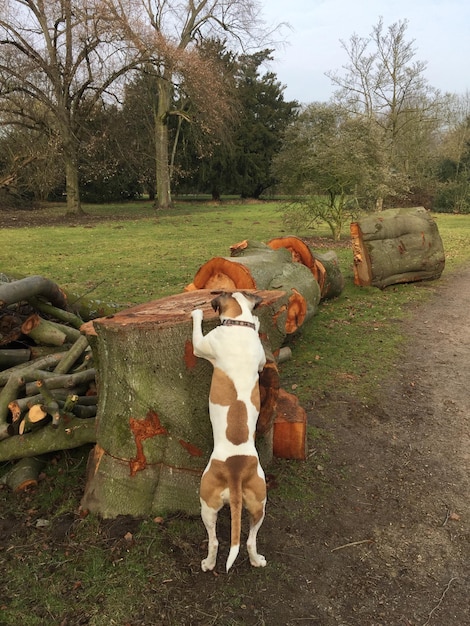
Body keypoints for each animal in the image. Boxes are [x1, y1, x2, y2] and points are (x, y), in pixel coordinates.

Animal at [192, 290, 268, 568]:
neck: (238, 324)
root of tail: (235, 471)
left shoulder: (201, 344)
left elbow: (196, 332)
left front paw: (196, 313)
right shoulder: (261, 359)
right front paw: (257, 321)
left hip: (206, 503)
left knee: (214, 540)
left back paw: (208, 563)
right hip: (259, 504)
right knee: (250, 540)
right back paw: (257, 560)